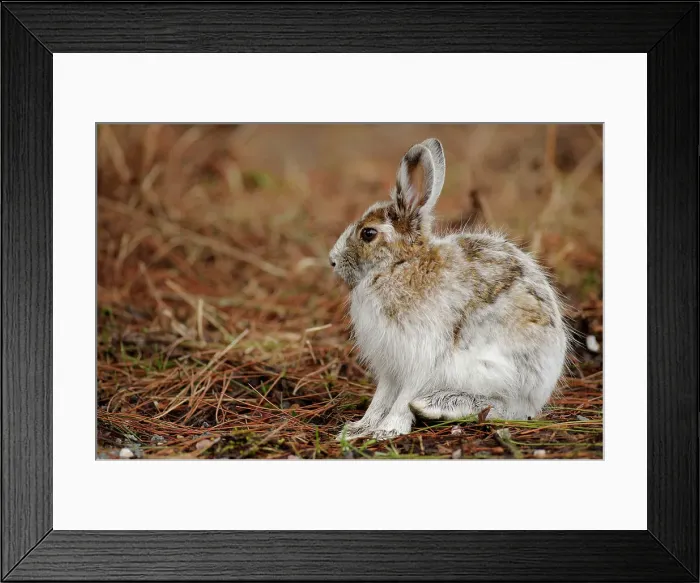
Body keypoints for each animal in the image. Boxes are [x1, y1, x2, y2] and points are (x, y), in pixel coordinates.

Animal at [329, 137, 570, 442]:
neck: (399, 265)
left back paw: (435, 406)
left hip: (495, 372)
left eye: (368, 233)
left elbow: (402, 398)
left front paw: (387, 430)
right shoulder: (390, 366)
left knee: (505, 407)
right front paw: (358, 429)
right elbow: (380, 398)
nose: (332, 261)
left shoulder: (422, 354)